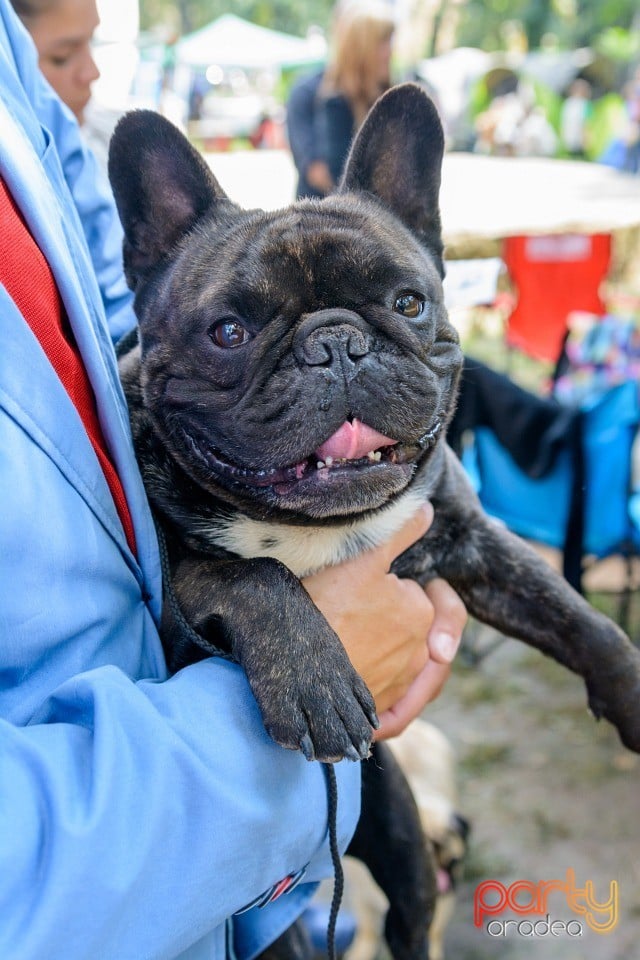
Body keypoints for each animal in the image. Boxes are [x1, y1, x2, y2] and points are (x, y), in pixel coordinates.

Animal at [112, 84, 640, 960]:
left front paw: (630, 688)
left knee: (411, 913)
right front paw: (314, 675)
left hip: (398, 836)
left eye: (408, 303)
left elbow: (573, 614)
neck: (319, 527)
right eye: (229, 332)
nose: (337, 342)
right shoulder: (177, 602)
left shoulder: (468, 542)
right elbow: (246, 570)